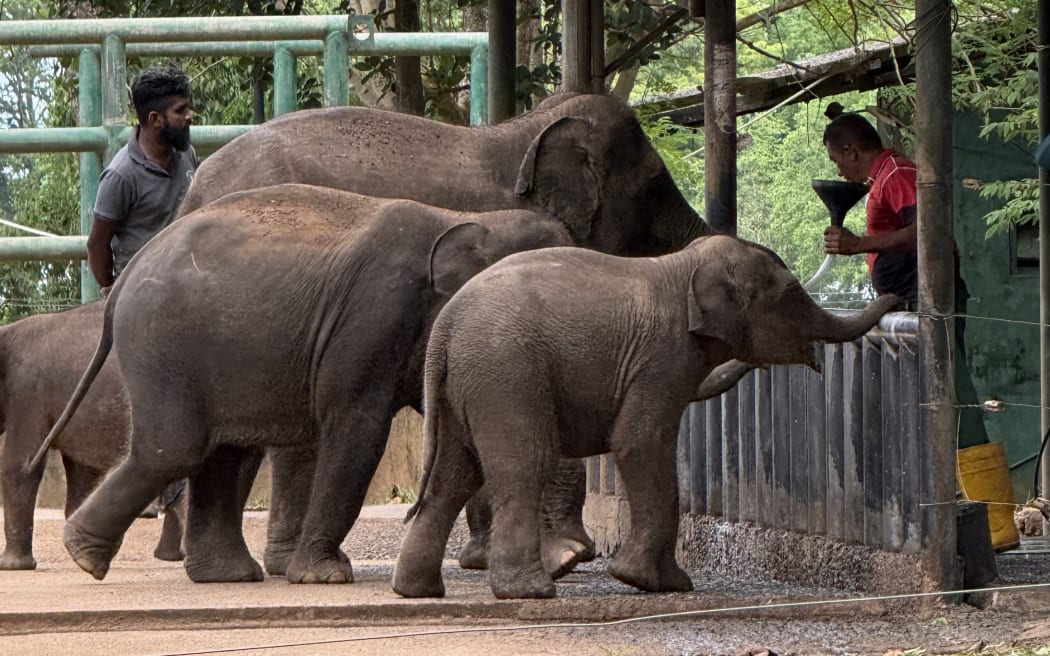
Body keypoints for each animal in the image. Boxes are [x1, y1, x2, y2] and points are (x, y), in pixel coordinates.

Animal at [37, 183, 572, 584]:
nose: (567, 563)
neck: (468, 216)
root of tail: (123, 282)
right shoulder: (373, 313)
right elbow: (358, 428)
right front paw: (326, 577)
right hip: (162, 344)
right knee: (176, 449)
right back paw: (85, 557)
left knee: (221, 452)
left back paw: (224, 575)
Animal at [392, 235, 899, 600]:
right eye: (792, 292)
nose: (894, 295)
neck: (684, 265)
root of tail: (445, 329)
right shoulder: (662, 358)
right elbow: (639, 443)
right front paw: (653, 583)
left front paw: (666, 582)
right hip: (505, 373)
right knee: (522, 465)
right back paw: (531, 592)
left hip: (463, 387)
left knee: (452, 476)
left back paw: (417, 591)